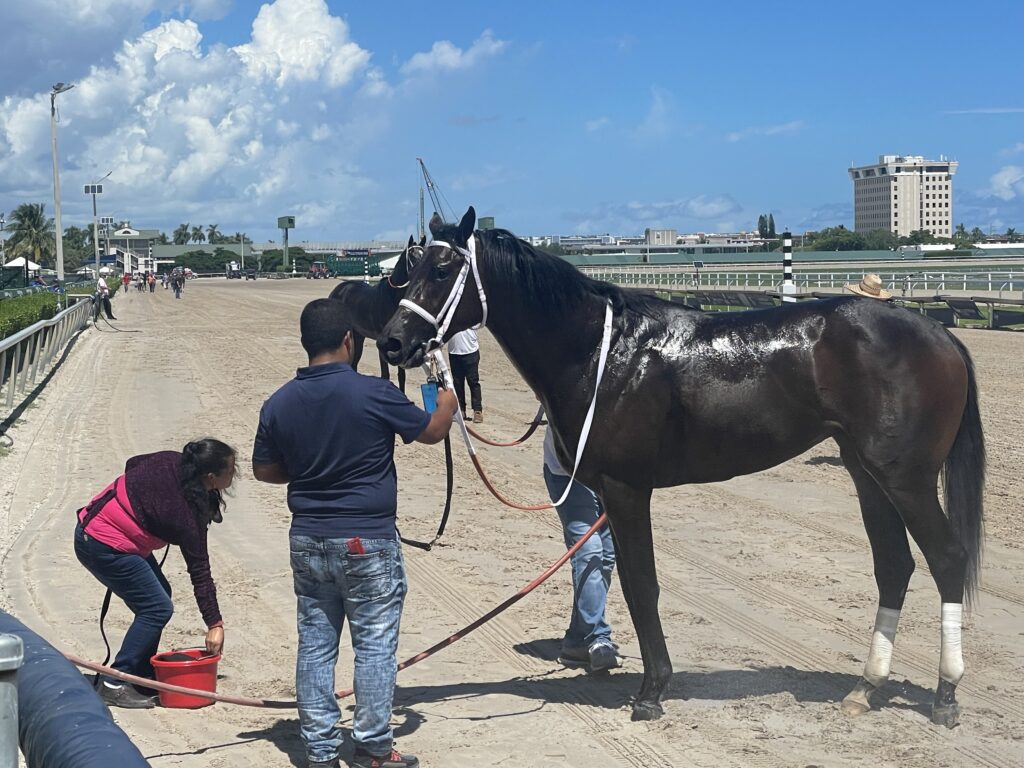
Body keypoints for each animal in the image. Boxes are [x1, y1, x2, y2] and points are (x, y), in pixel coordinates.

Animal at [327, 236, 423, 393]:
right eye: (413, 256)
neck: (393, 297)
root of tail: (340, 288)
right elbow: (385, 374)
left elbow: (401, 375)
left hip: (359, 335)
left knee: (354, 363)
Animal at [385, 208, 983, 729]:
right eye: (411, 267)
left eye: (441, 270)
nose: (393, 341)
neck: (605, 353)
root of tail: (938, 334)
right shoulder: (611, 494)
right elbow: (625, 578)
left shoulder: (628, 490)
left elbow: (640, 584)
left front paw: (651, 692)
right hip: (866, 474)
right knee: (894, 567)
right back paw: (867, 687)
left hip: (905, 479)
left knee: (947, 559)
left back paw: (947, 696)